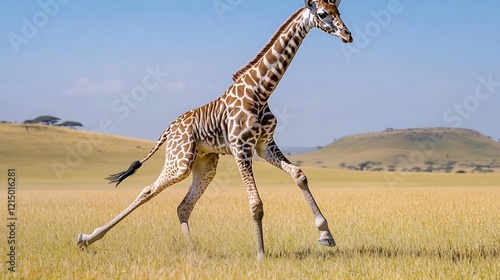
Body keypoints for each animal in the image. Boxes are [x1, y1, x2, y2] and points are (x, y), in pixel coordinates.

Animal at [78, 0, 352, 260]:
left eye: (338, 11)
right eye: (322, 14)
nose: (347, 35)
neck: (261, 91)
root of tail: (170, 128)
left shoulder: (264, 145)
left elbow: (299, 174)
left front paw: (326, 235)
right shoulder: (241, 148)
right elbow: (256, 203)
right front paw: (261, 255)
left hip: (205, 163)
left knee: (183, 206)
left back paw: (194, 253)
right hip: (180, 161)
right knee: (148, 190)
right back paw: (87, 238)